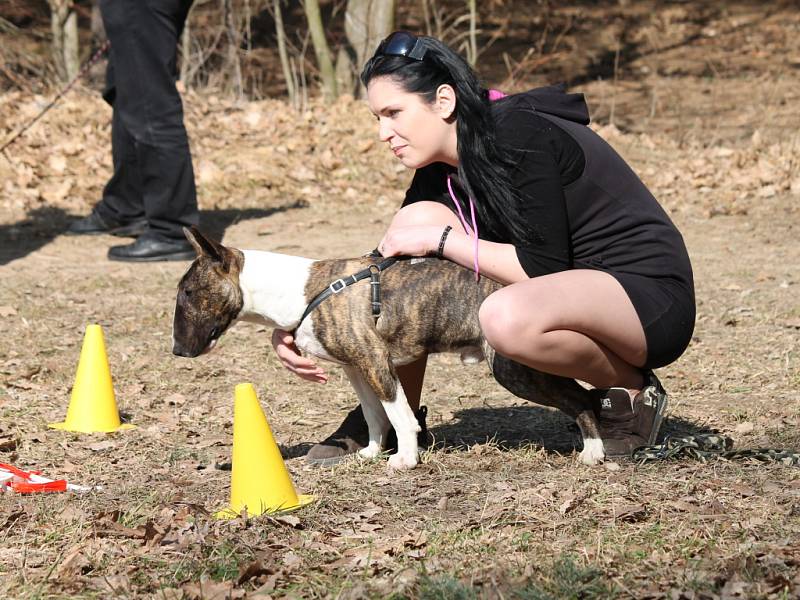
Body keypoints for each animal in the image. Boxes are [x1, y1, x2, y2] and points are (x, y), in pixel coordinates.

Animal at [172, 227, 604, 472]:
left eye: (188, 293)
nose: (176, 350)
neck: (300, 290)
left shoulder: (376, 362)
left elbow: (399, 415)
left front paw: (405, 460)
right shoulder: (356, 368)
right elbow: (374, 414)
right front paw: (371, 452)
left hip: (513, 369)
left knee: (580, 398)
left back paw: (594, 451)